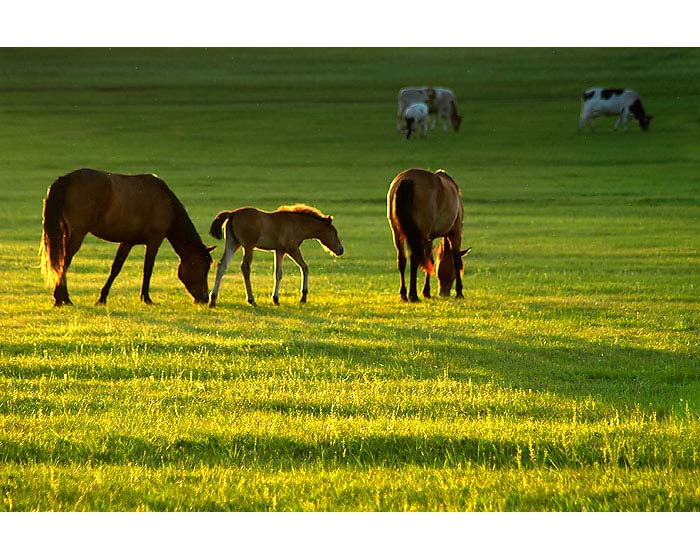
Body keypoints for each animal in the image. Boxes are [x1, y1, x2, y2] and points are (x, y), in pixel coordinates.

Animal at [41, 168, 215, 306]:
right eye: (201, 267)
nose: (205, 298)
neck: (167, 204)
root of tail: (66, 179)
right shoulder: (154, 241)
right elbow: (148, 269)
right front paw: (146, 298)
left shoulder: (127, 242)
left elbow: (116, 268)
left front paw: (102, 298)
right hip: (78, 233)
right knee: (64, 261)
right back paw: (62, 298)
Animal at [208, 203, 344, 306]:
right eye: (334, 232)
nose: (341, 250)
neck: (297, 224)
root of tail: (232, 214)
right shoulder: (292, 249)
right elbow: (304, 267)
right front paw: (303, 297)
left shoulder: (279, 251)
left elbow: (278, 273)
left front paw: (276, 299)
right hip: (248, 246)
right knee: (245, 267)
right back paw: (251, 300)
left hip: (233, 243)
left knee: (222, 265)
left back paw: (213, 299)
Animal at [388, 167, 470, 302]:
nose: (444, 293)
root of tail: (407, 179)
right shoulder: (455, 232)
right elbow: (456, 258)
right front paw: (459, 292)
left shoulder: (429, 238)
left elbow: (429, 259)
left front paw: (426, 292)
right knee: (414, 259)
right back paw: (413, 295)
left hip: (397, 233)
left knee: (402, 260)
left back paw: (403, 294)